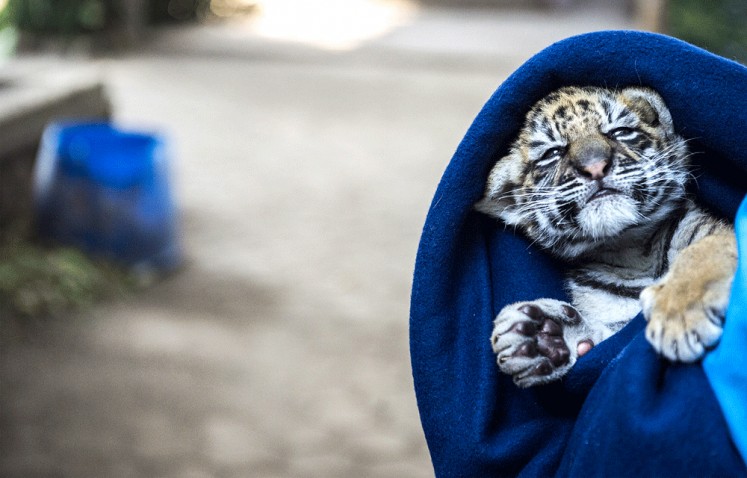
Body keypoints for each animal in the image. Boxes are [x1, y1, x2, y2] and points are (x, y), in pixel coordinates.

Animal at [475, 86, 737, 388]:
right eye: (553, 153)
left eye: (620, 132)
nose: (595, 166)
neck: (632, 251)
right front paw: (541, 336)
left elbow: (705, 248)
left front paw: (679, 315)